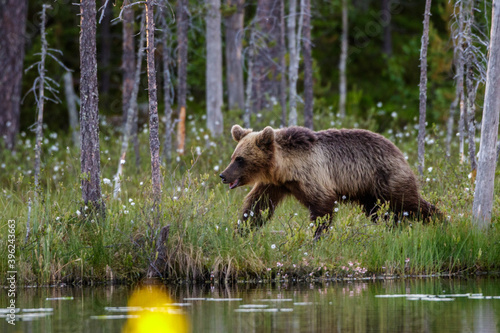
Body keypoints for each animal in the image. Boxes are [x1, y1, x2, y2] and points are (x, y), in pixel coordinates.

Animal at [221, 124, 440, 239]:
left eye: (240, 159)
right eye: (233, 157)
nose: (223, 175)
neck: (285, 169)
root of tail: (397, 149)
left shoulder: (313, 175)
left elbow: (322, 207)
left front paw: (317, 237)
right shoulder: (275, 184)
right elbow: (258, 206)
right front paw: (240, 230)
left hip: (385, 177)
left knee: (409, 202)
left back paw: (440, 220)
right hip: (368, 192)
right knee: (381, 213)